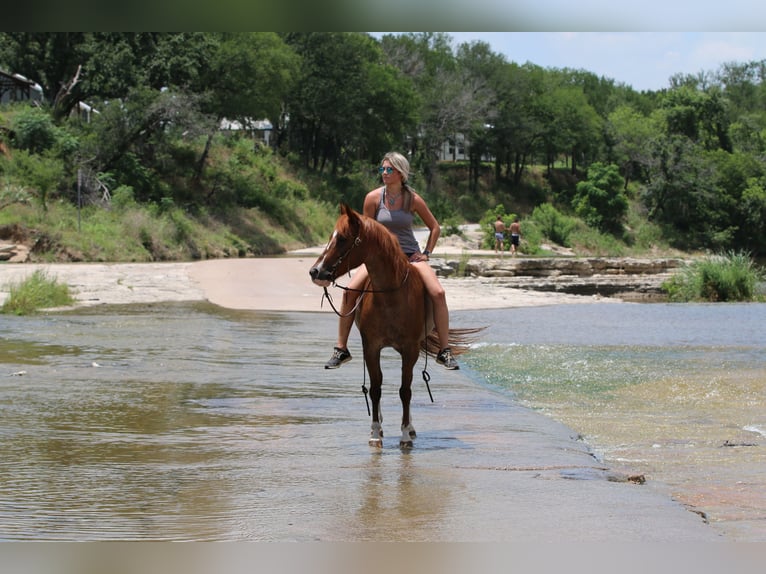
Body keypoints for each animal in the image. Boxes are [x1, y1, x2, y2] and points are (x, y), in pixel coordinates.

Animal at [309, 203, 481, 448]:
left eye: (342, 238)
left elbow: (405, 391)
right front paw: (375, 433)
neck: (390, 295)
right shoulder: (371, 348)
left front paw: (405, 434)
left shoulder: (409, 350)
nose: (315, 271)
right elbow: (375, 389)